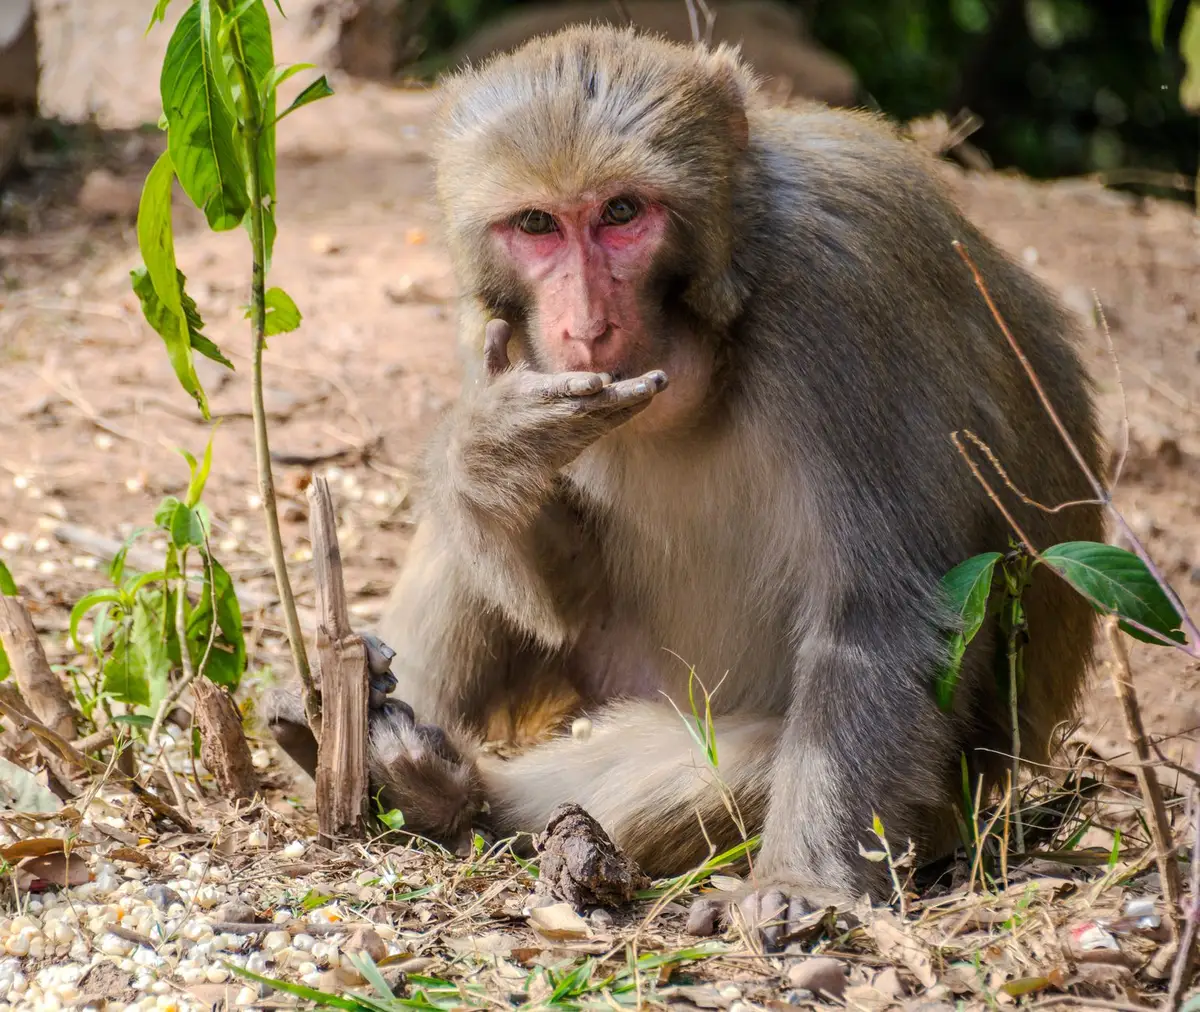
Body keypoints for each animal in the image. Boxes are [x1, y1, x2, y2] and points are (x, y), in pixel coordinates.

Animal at [266, 24, 1104, 948]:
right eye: (537, 225)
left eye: (622, 214)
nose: (584, 323)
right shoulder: (489, 328)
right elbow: (547, 584)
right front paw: (492, 453)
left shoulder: (842, 285)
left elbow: (875, 612)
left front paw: (799, 882)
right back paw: (365, 748)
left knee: (758, 752)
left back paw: (455, 797)